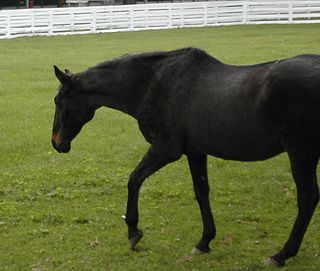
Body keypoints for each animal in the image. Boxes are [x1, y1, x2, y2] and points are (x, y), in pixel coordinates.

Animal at [51, 48, 318, 268]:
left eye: (59, 101)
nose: (56, 142)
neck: (152, 83)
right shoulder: (196, 152)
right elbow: (201, 192)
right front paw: (204, 241)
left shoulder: (165, 150)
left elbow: (134, 180)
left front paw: (133, 231)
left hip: (301, 152)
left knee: (307, 199)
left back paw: (282, 254)